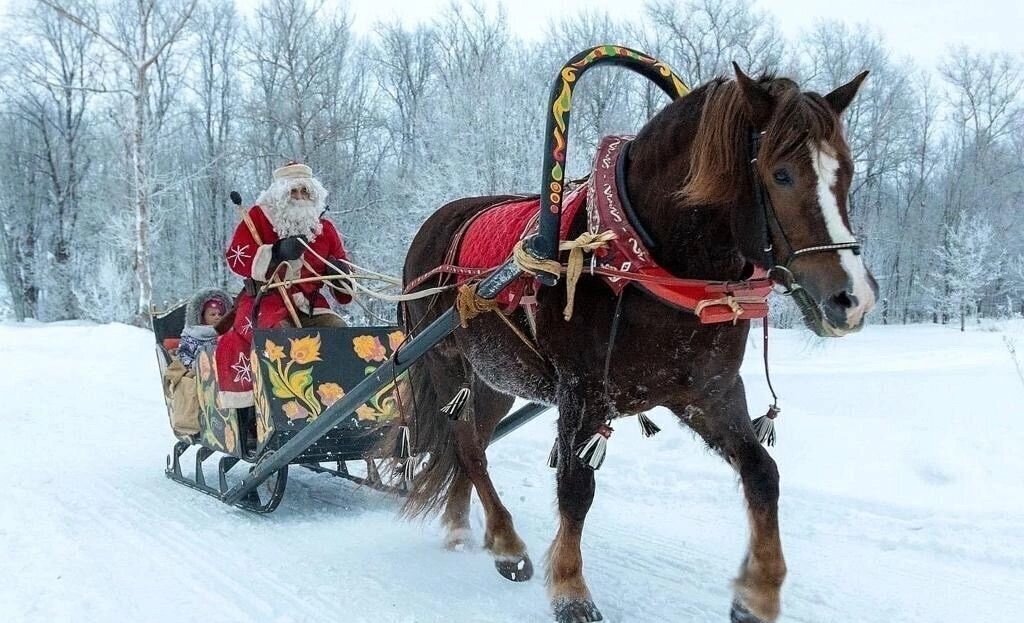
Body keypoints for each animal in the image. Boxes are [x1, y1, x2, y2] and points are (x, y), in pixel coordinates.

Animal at [395, 64, 876, 623]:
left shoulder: (708, 393)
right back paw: (507, 542)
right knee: (468, 447)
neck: (639, 257)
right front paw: (571, 590)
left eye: (846, 171)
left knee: (470, 443)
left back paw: (462, 526)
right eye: (781, 174)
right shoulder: (582, 391)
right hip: (443, 362)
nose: (853, 298)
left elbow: (763, 472)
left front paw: (758, 591)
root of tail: (435, 222)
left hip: (494, 379)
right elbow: (576, 487)